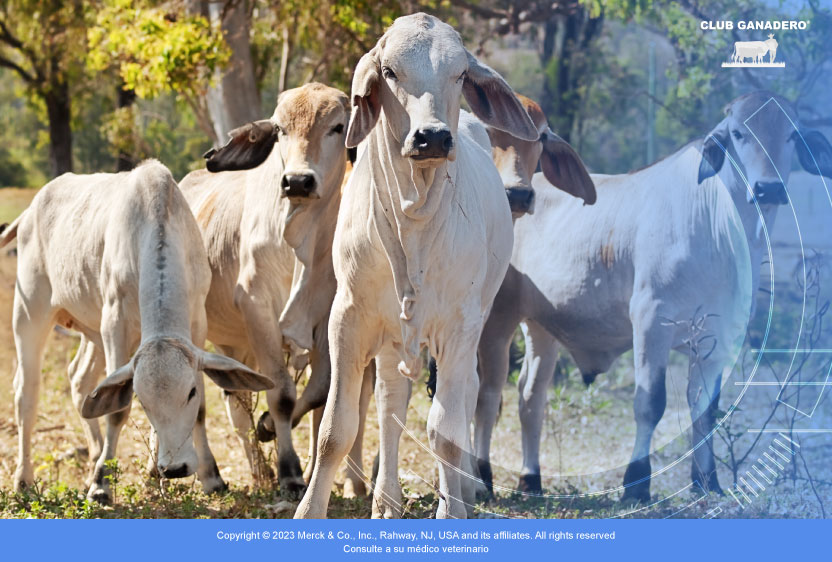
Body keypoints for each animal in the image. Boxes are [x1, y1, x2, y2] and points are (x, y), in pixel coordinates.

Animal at [0, 159, 270, 504]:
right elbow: (117, 410)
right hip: (29, 311)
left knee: (80, 379)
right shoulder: (114, 324)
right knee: (26, 393)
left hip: (90, 330)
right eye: (141, 398)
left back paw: (96, 454)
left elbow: (200, 411)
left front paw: (209, 476)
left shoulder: (197, 325)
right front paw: (101, 484)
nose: (175, 468)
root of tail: (30, 210)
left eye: (190, 392)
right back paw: (24, 478)